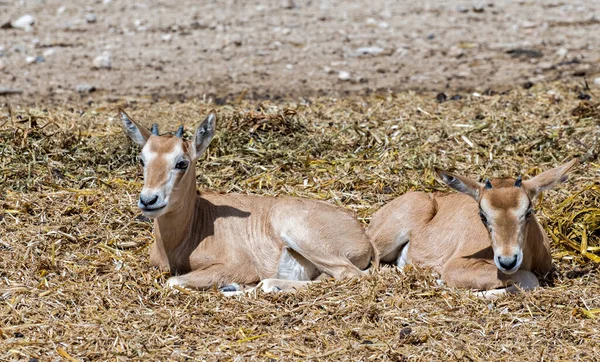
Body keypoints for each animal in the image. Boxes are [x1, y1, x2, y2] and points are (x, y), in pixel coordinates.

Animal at [119, 109, 378, 292]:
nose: (149, 200)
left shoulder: (236, 267)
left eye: (181, 162)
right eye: (142, 159)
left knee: (349, 274)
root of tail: (361, 234)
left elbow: (173, 282)